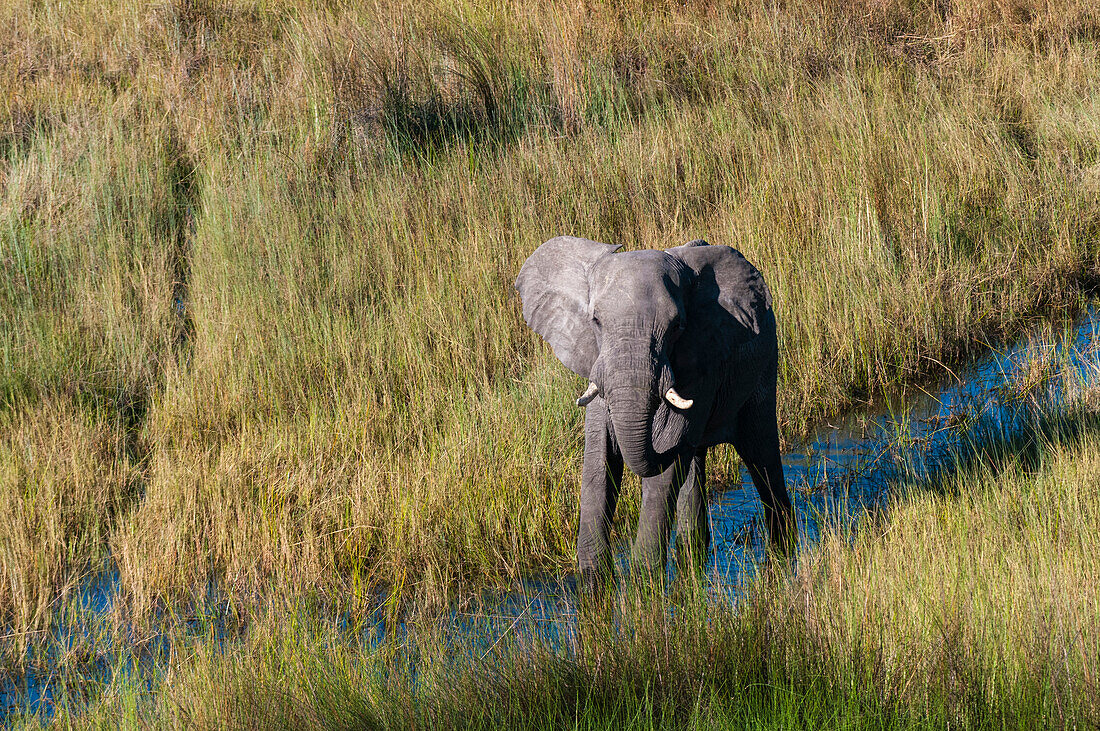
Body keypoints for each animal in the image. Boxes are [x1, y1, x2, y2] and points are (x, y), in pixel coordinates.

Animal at [514, 236, 792, 589]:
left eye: (677, 326)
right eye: (596, 321)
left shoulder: (702, 361)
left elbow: (663, 471)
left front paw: (643, 580)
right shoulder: (598, 365)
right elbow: (598, 462)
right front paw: (593, 580)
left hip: (764, 368)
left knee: (761, 454)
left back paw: (783, 547)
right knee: (695, 468)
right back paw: (691, 551)